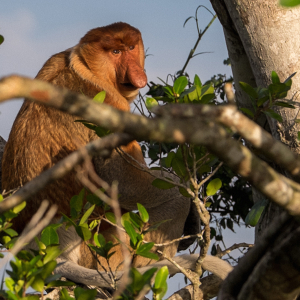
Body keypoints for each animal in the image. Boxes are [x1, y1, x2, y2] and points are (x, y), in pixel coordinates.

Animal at [1, 22, 232, 284]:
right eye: (115, 52)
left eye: (131, 48)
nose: (137, 73)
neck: (85, 67)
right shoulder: (107, 103)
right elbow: (122, 181)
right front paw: (185, 201)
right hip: (100, 249)